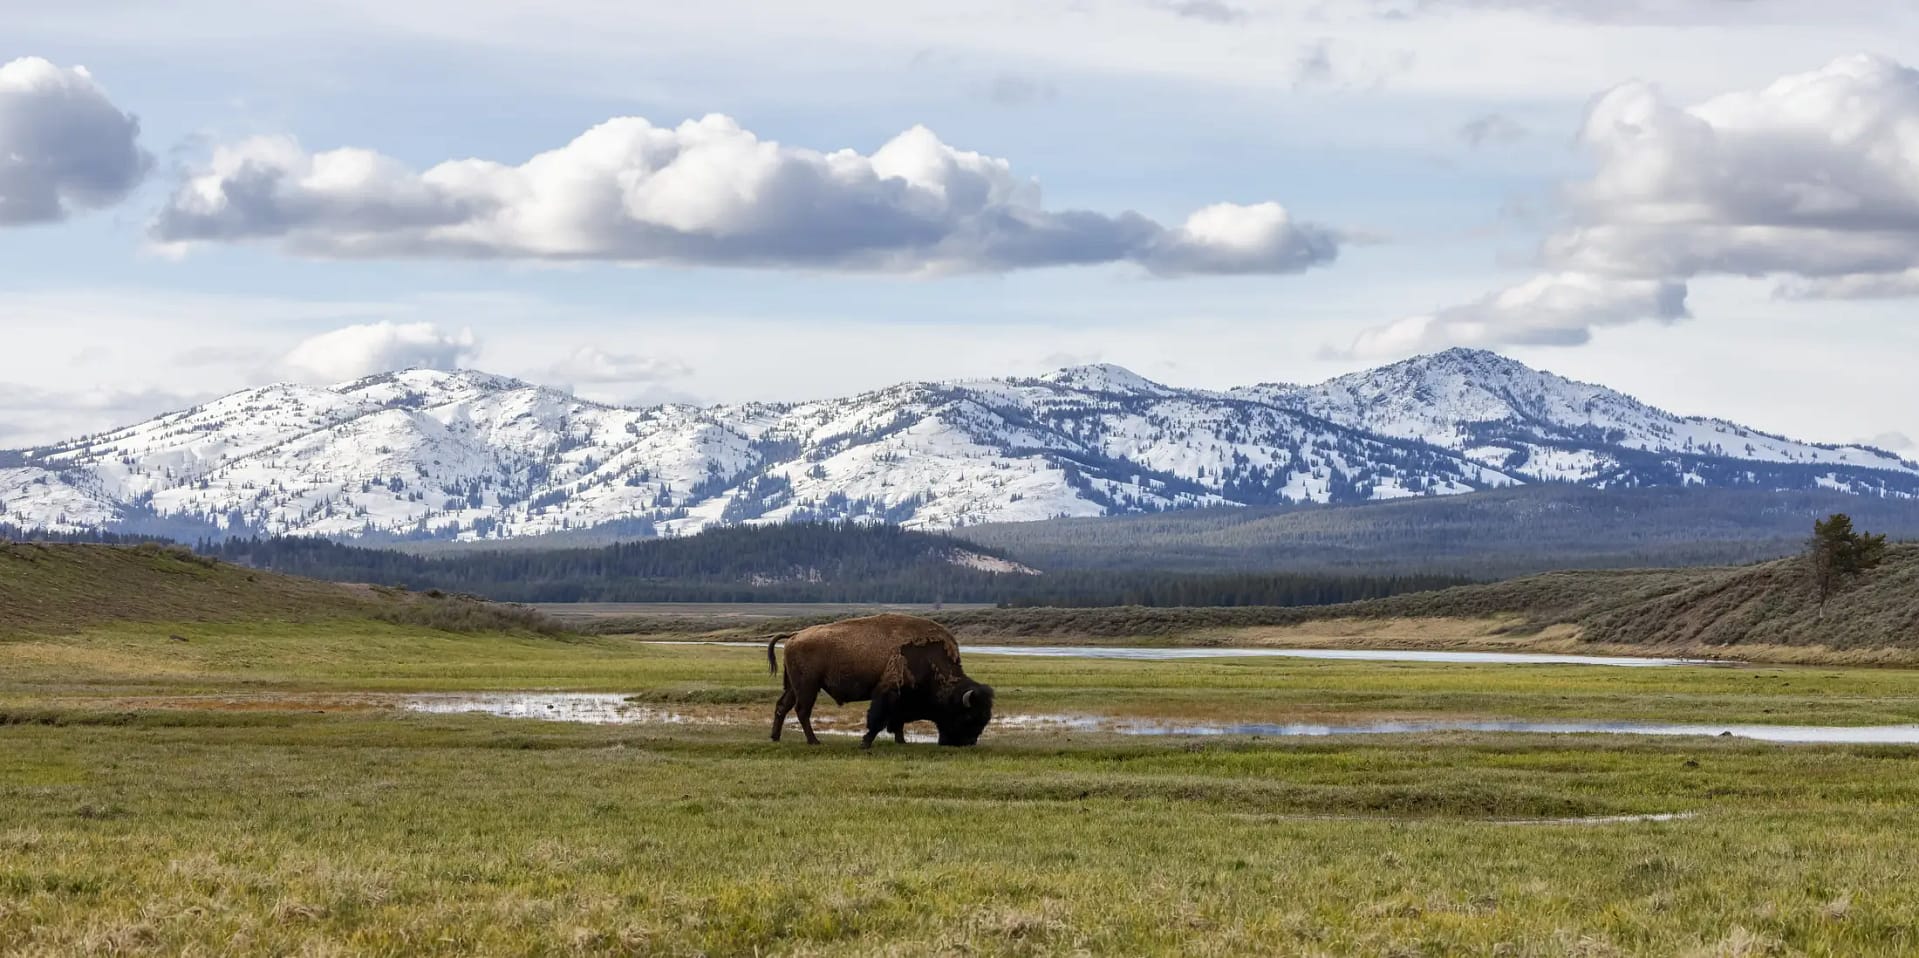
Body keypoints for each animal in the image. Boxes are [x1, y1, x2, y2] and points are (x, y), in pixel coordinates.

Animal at [767, 613, 994, 748]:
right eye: (968, 716)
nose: (969, 742)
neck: (929, 658)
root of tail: (795, 635)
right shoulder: (889, 693)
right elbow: (878, 720)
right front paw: (865, 743)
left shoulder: (902, 700)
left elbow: (897, 721)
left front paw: (901, 742)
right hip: (808, 687)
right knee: (802, 711)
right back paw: (814, 741)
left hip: (794, 687)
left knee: (782, 707)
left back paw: (775, 737)